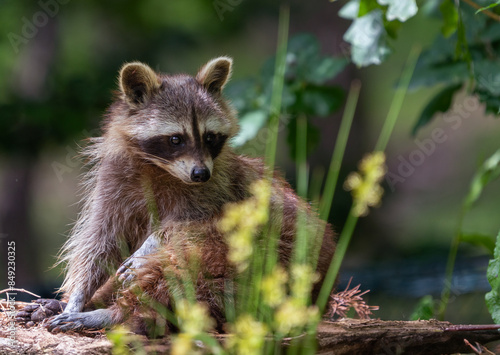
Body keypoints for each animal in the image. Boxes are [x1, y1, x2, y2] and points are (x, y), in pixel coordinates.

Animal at [17, 57, 336, 336]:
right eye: (175, 139)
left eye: (210, 137)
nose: (200, 173)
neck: (159, 169)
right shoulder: (113, 184)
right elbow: (101, 241)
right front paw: (78, 296)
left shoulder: (219, 189)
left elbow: (185, 227)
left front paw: (148, 246)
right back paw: (91, 304)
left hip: (278, 257)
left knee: (197, 261)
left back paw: (114, 312)